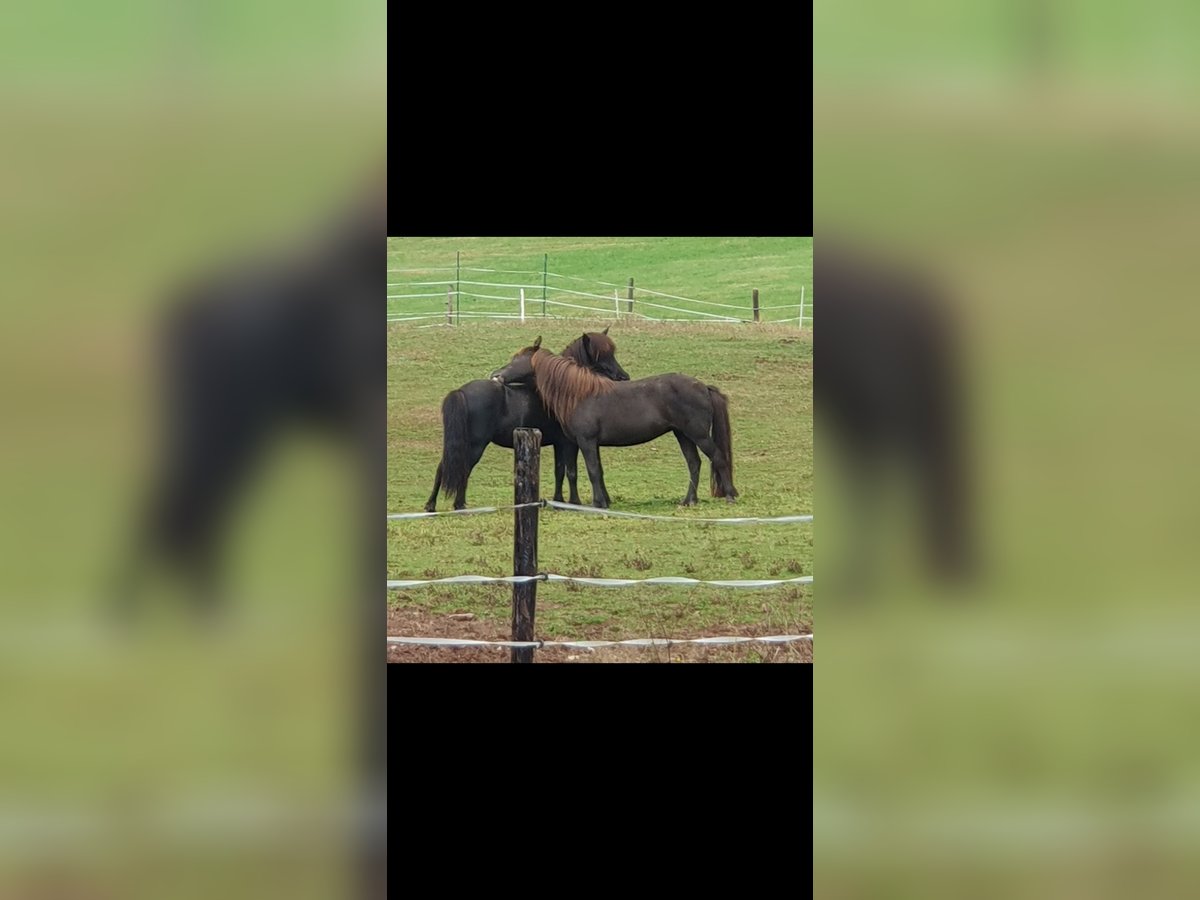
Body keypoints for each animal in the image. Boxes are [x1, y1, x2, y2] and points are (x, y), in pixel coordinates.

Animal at [424, 330, 629, 511]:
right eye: (601, 356)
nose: (623, 377)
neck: (566, 390)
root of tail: (461, 391)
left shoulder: (559, 444)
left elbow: (559, 471)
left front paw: (559, 501)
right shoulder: (569, 443)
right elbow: (571, 472)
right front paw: (574, 502)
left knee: (443, 467)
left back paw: (431, 505)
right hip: (475, 445)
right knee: (463, 468)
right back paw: (459, 504)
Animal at [490, 340, 738, 508]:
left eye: (515, 361)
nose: (495, 375)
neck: (579, 395)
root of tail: (703, 387)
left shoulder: (586, 442)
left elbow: (592, 471)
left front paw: (598, 503)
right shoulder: (582, 444)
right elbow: (591, 471)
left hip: (698, 434)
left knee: (718, 457)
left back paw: (730, 495)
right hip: (683, 434)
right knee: (694, 463)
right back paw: (689, 500)